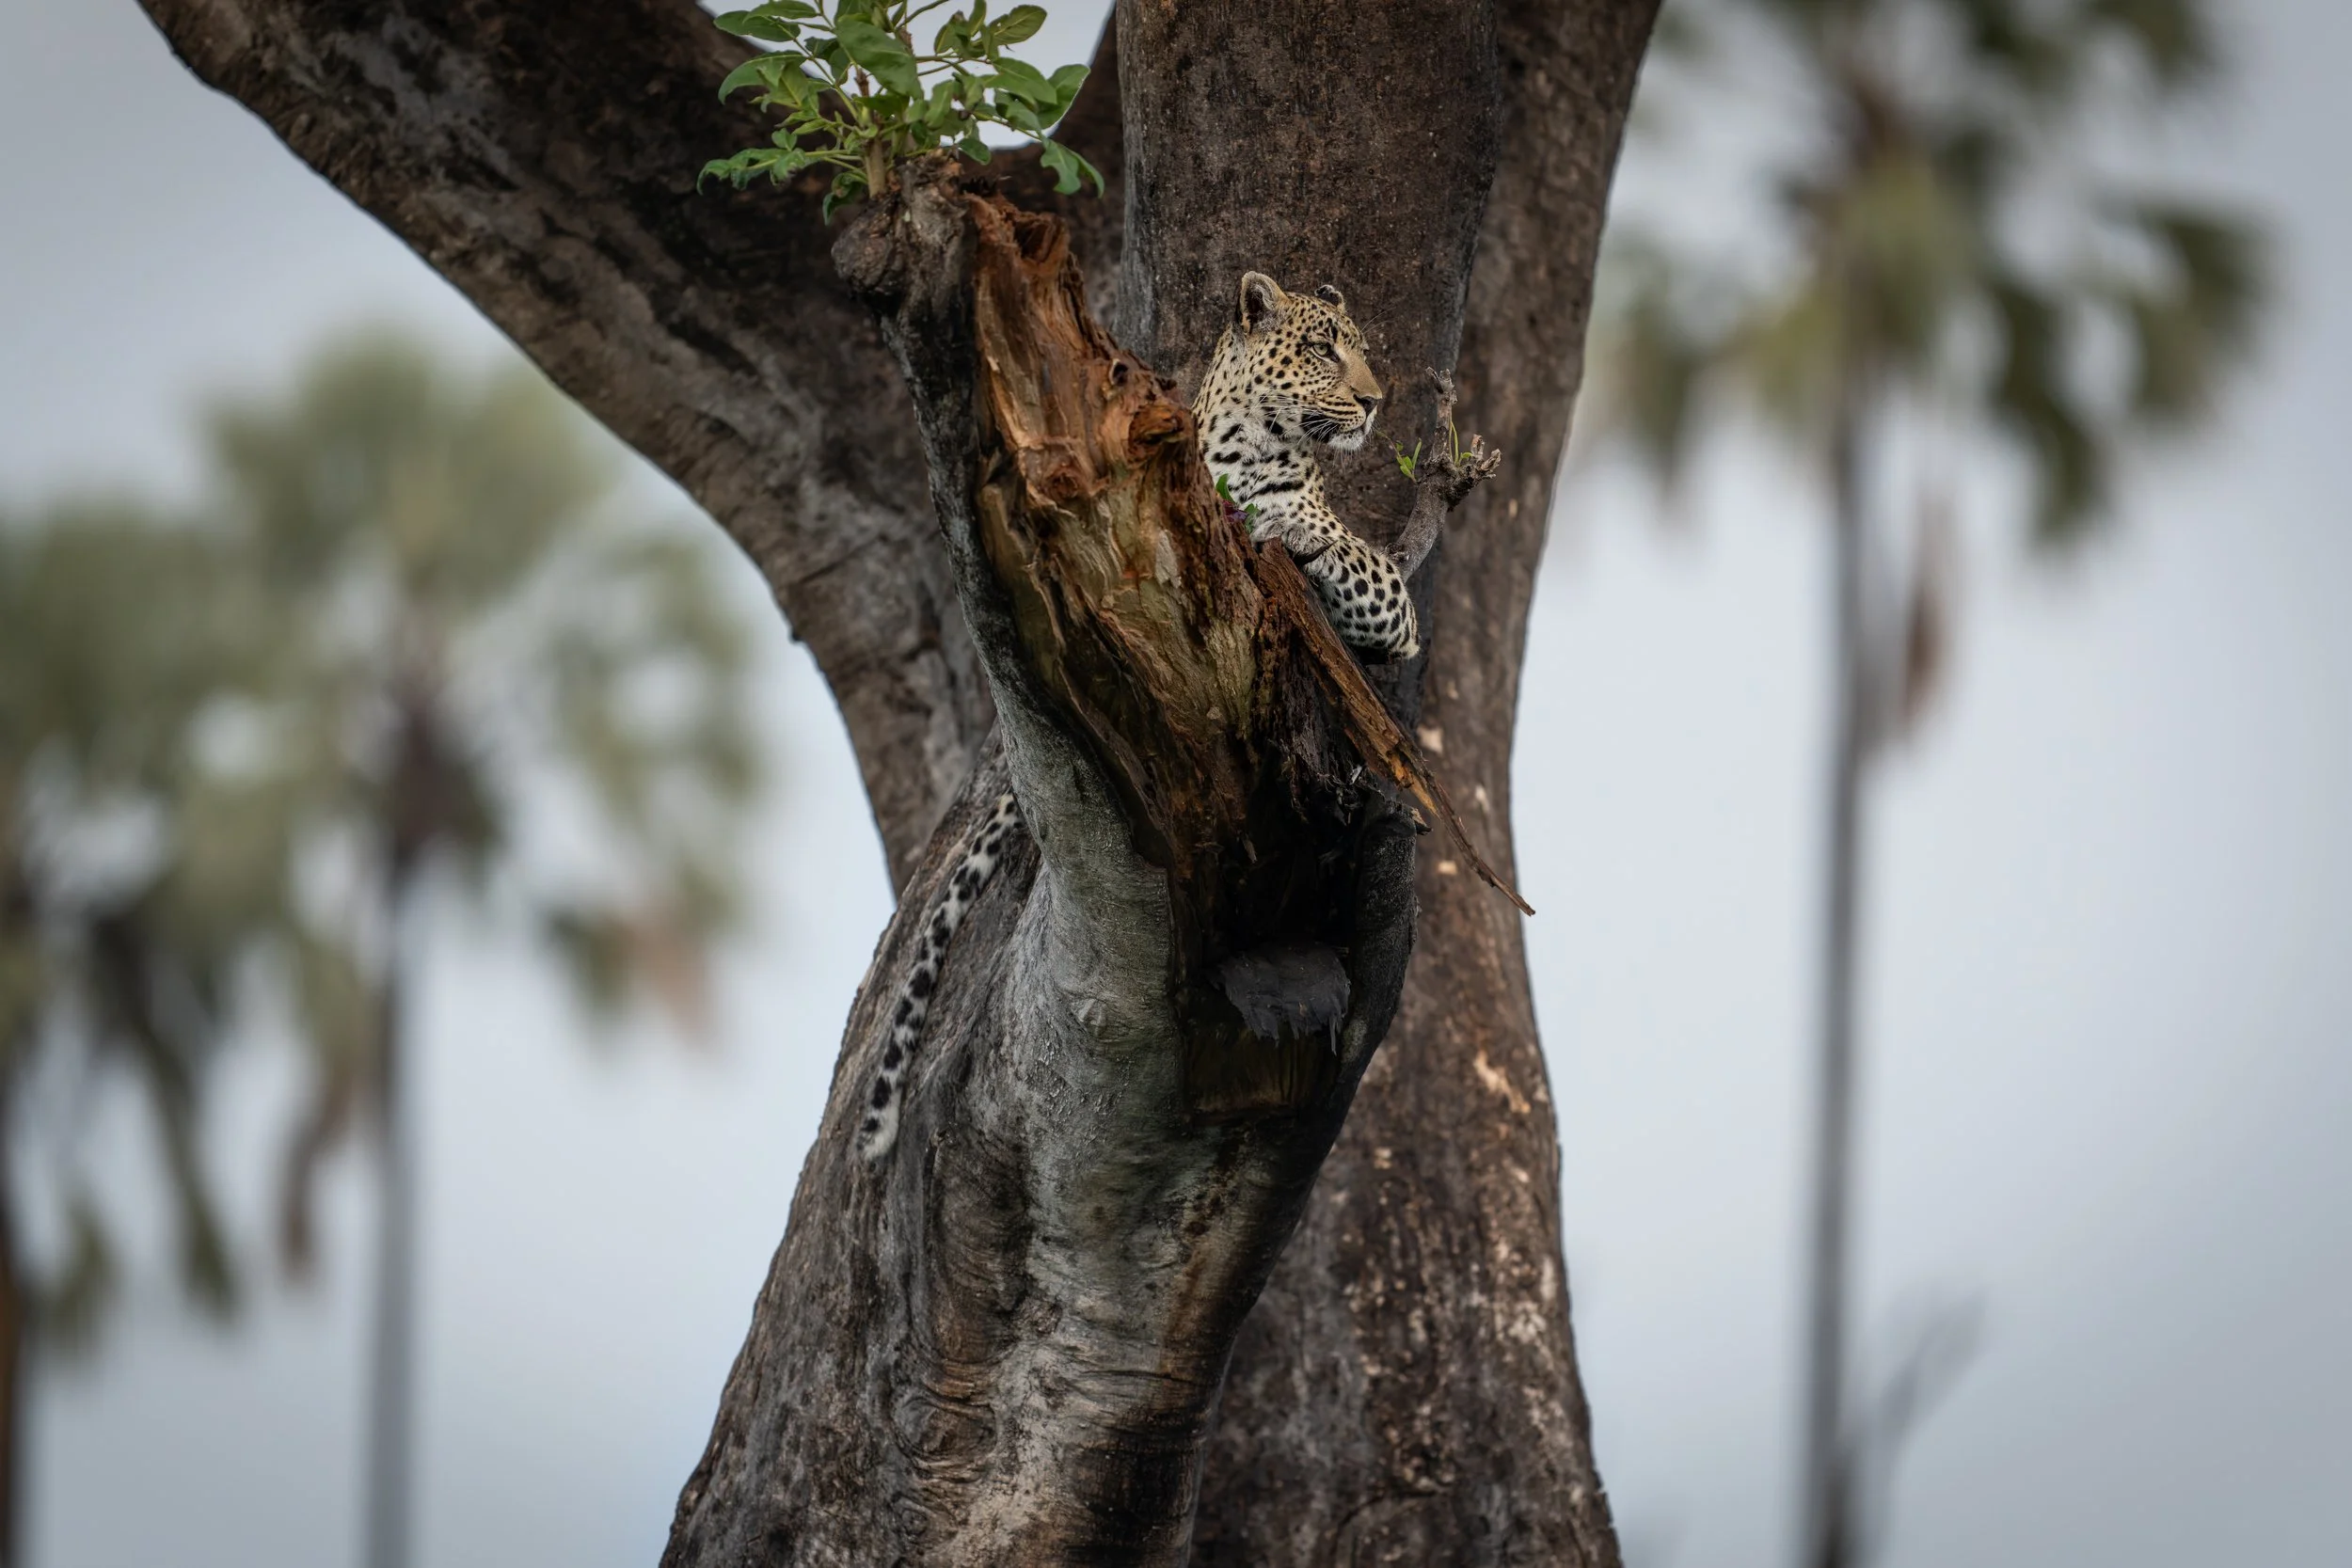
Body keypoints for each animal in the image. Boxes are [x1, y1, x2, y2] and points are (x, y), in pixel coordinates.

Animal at [1196, 272, 1422, 660]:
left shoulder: (1396, 608)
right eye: (1322, 350)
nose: (1373, 401)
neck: (1241, 446)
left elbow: (1347, 550)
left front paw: (1290, 531)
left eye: (1364, 354)